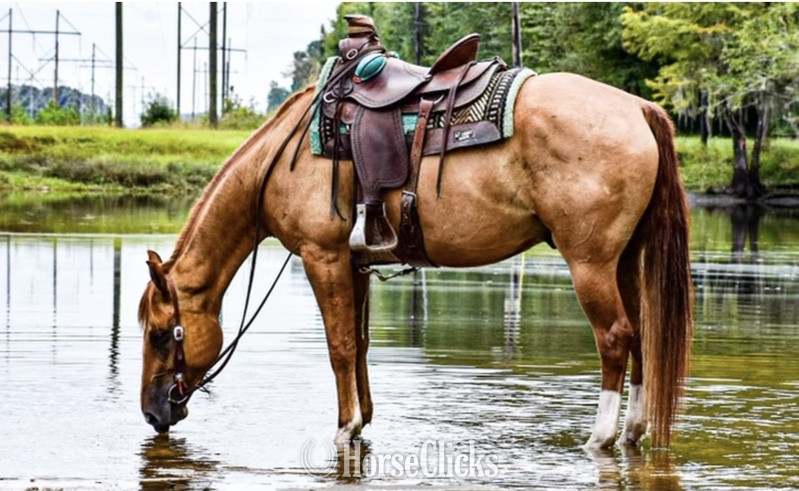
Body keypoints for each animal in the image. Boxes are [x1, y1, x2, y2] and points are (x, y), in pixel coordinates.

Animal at [137, 72, 692, 450]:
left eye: (161, 334)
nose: (152, 413)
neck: (280, 159)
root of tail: (638, 108)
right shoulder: (355, 264)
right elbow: (359, 345)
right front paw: (362, 420)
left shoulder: (323, 257)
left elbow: (339, 346)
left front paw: (344, 427)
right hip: (624, 260)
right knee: (640, 334)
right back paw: (633, 430)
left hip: (589, 263)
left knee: (615, 337)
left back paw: (600, 436)